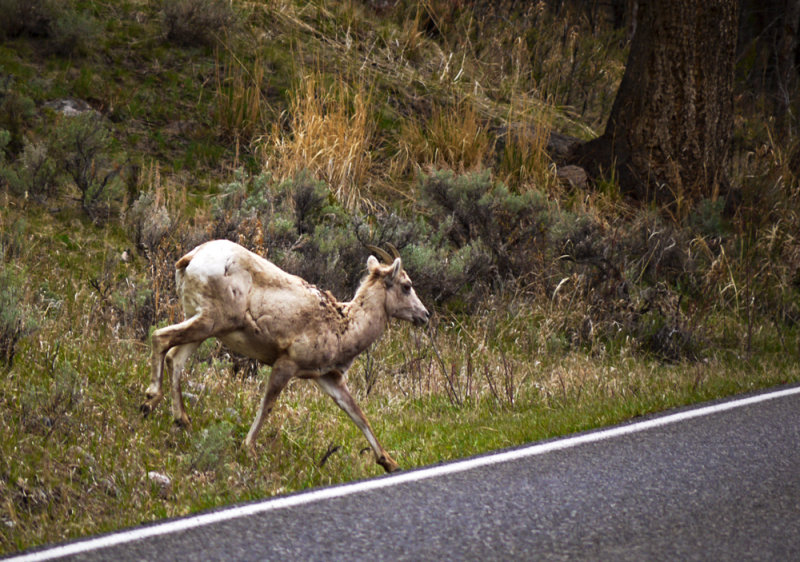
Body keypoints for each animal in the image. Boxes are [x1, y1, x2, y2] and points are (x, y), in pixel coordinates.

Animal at [144, 238, 432, 470]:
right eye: (407, 285)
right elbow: (268, 404)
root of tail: (189, 259)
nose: (425, 315)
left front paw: (390, 463)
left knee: (174, 357)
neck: (344, 327)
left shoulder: (327, 377)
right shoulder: (287, 362)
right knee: (160, 337)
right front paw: (249, 449)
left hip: (202, 322)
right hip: (212, 319)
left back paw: (182, 420)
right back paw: (148, 402)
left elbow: (357, 414)